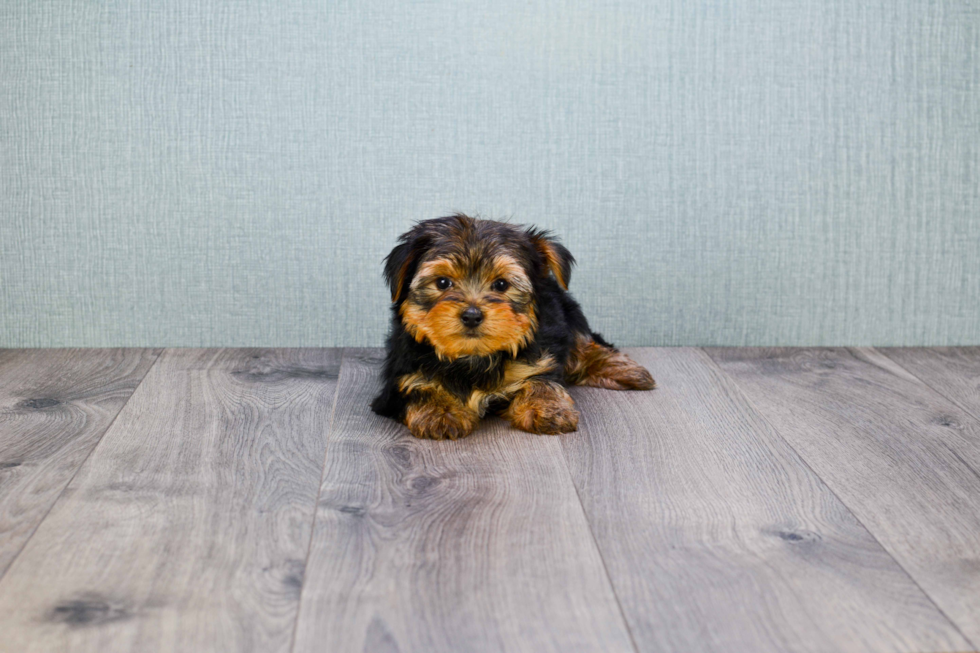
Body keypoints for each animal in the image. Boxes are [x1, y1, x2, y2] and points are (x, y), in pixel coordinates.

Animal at [372, 214, 656, 438]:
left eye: (501, 285)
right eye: (442, 283)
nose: (472, 315)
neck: (473, 357)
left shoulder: (542, 357)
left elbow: (541, 380)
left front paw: (548, 409)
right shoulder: (400, 377)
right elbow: (418, 387)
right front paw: (440, 412)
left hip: (567, 313)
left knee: (585, 344)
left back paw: (628, 372)